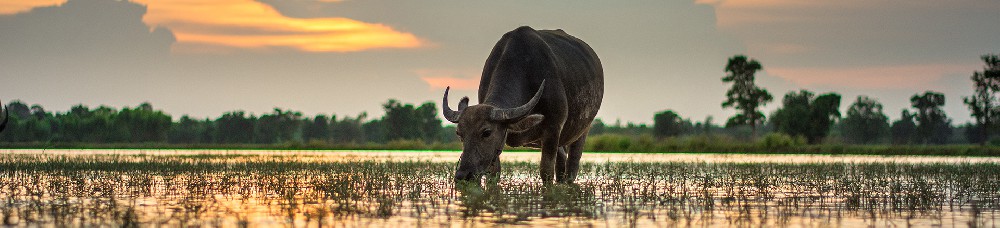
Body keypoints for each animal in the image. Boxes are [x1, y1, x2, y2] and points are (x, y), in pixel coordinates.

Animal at [444, 25, 600, 184]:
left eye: (486, 132)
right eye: (459, 133)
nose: (463, 175)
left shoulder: (553, 128)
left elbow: (546, 171)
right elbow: (493, 175)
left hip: (583, 131)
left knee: (572, 167)